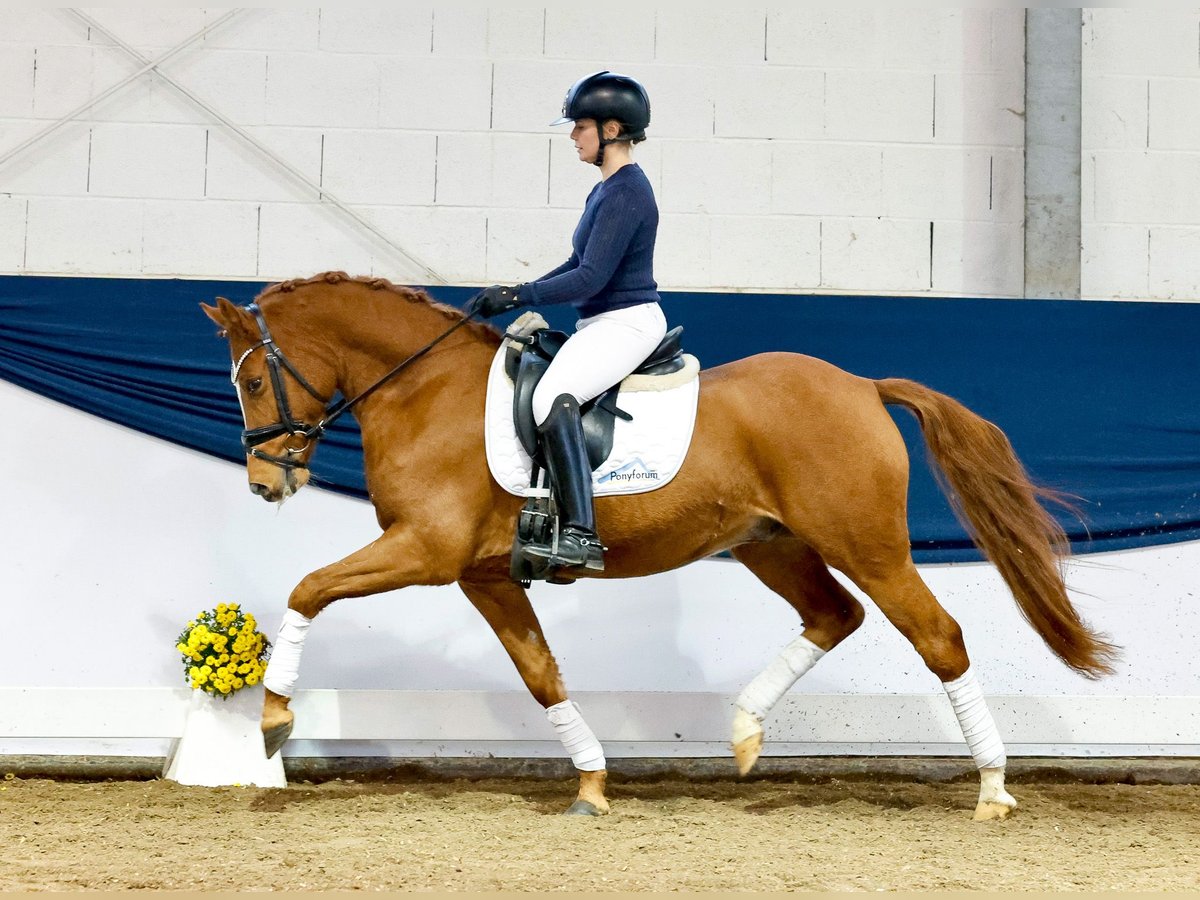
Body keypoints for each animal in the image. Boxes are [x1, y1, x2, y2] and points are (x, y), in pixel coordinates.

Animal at [204, 271, 1113, 820]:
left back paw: (993, 790)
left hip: (869, 545)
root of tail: (861, 385)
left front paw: (275, 719)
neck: (424, 391)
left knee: (937, 637)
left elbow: (309, 587)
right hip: (772, 543)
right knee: (834, 616)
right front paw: (592, 784)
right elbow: (540, 675)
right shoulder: (483, 575)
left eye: (249, 380)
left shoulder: (425, 550)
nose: (266, 484)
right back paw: (744, 730)